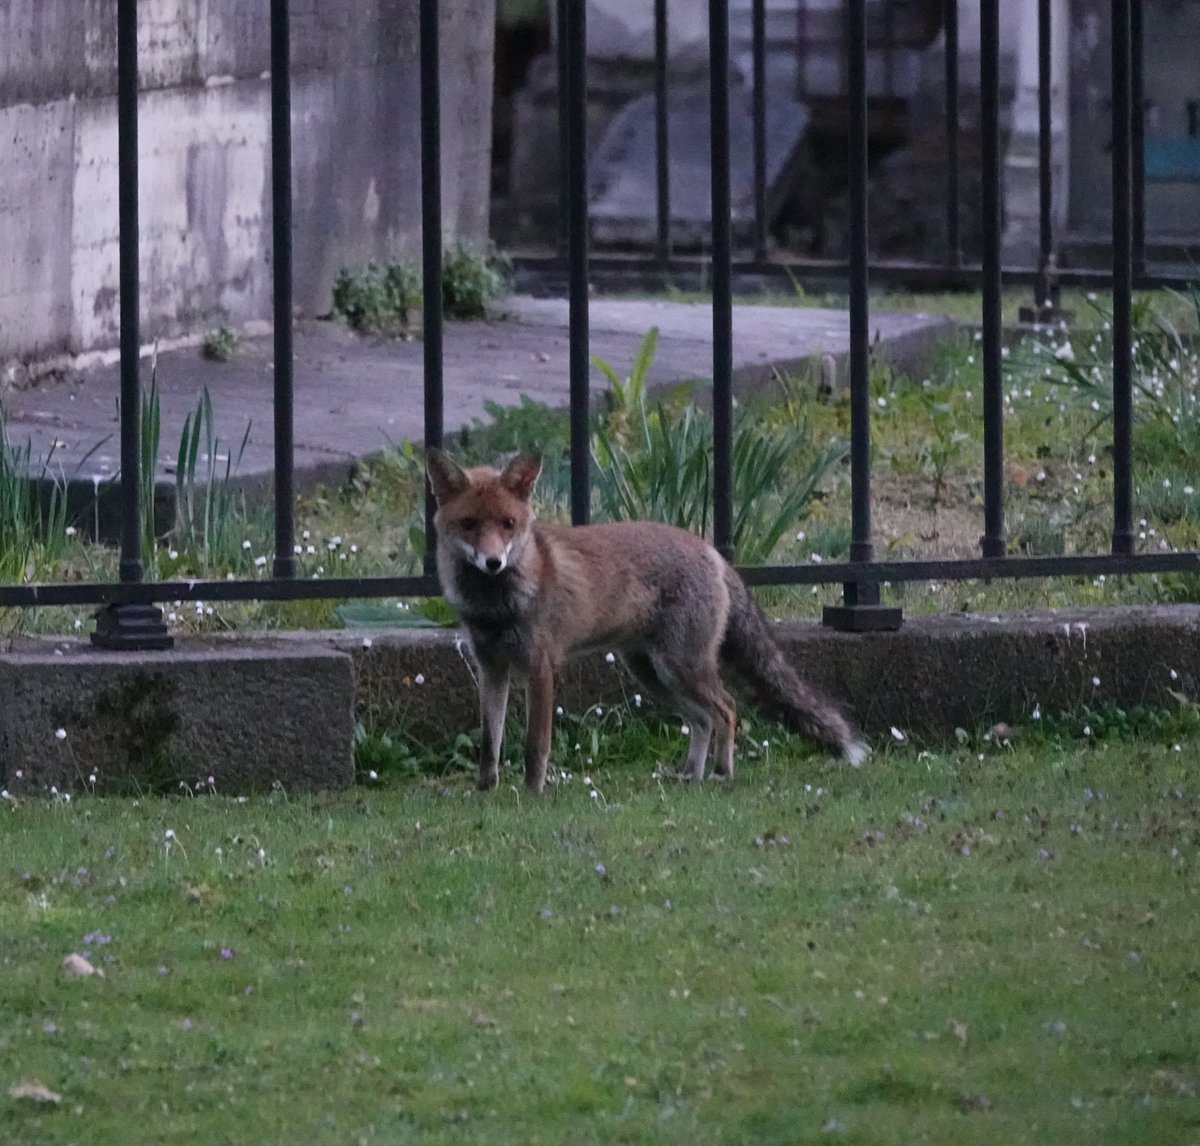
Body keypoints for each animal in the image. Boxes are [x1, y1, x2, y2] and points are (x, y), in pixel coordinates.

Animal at [426, 448, 868, 793]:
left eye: (508, 524)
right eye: (469, 524)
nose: (493, 562)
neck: (496, 604)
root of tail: (712, 551)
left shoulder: (540, 666)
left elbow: (536, 745)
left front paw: (533, 795)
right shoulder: (491, 668)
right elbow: (490, 742)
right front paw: (485, 791)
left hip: (681, 667)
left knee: (726, 709)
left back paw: (721, 773)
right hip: (653, 674)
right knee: (702, 720)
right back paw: (691, 775)